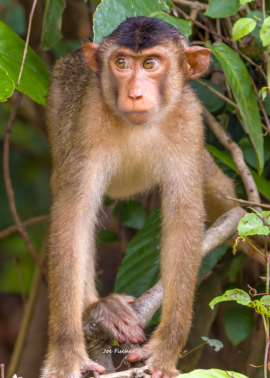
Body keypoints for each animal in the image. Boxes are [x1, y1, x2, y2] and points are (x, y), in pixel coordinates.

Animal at [41, 16, 237, 378]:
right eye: (121, 63)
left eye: (150, 64)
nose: (134, 93)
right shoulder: (89, 119)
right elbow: (72, 219)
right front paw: (65, 353)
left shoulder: (191, 122)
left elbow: (184, 223)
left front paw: (166, 349)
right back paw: (99, 309)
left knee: (221, 193)